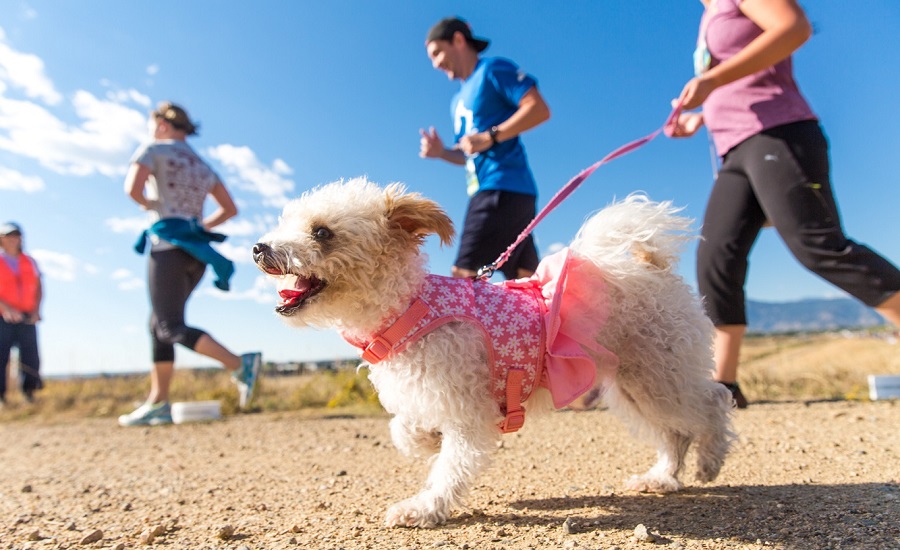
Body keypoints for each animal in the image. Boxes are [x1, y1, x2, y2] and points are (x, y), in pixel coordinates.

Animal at [255, 178, 740, 532]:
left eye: (322, 232)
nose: (259, 247)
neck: (410, 309)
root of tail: (651, 265)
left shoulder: (470, 412)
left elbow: (451, 468)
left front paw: (423, 508)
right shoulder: (426, 393)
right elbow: (403, 430)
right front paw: (426, 440)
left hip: (661, 375)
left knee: (713, 403)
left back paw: (710, 461)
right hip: (632, 387)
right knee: (675, 433)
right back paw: (663, 478)